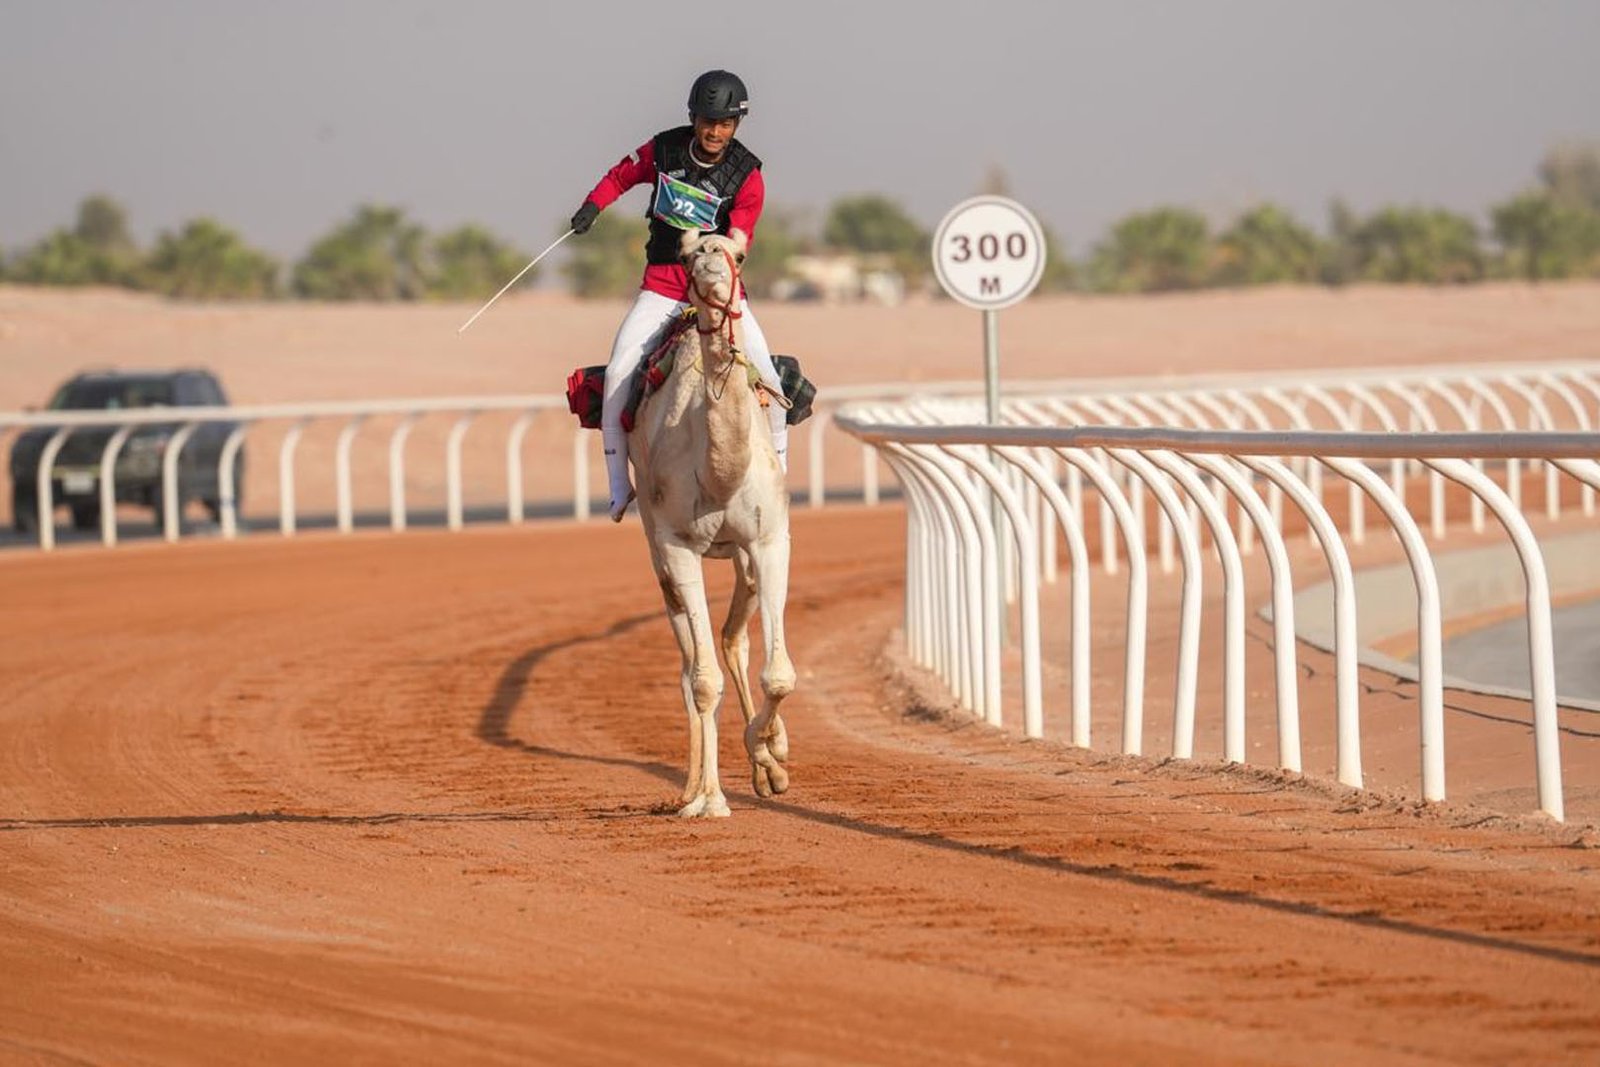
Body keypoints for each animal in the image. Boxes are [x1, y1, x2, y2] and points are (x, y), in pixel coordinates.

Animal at [630, 228, 795, 818]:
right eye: (683, 255)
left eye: (738, 252)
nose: (708, 263)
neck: (719, 469)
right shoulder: (677, 545)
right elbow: (702, 681)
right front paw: (711, 801)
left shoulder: (769, 540)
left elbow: (779, 674)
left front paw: (771, 755)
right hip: (657, 550)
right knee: (691, 662)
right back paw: (695, 791)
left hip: (743, 557)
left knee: (732, 639)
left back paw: (766, 761)